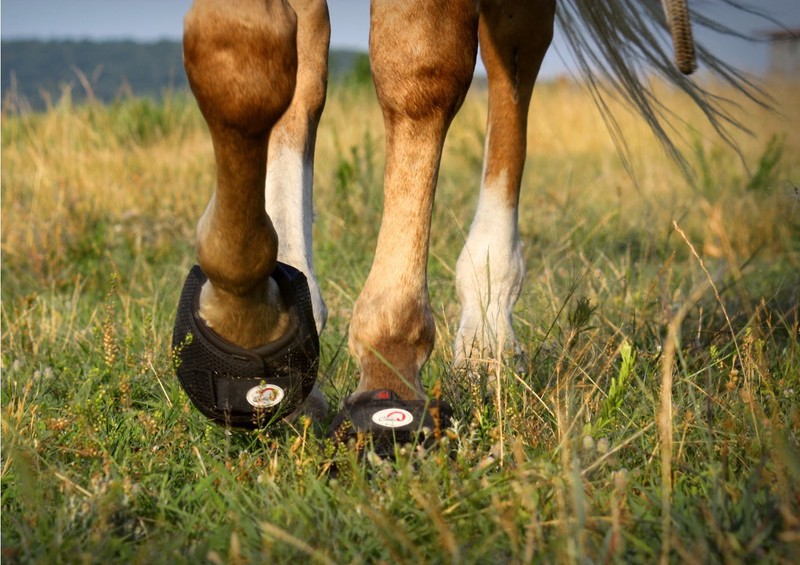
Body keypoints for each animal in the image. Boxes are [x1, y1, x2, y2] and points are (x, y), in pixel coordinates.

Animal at [171, 0, 747, 435]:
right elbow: (242, 52)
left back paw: (490, 324)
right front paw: (247, 320)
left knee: (516, 48)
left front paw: (390, 353)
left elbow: (422, 65)